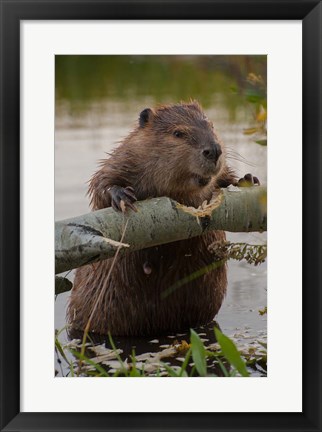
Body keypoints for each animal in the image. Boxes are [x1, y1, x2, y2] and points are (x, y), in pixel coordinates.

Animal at [66, 102, 258, 338]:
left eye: (211, 125)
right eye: (178, 133)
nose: (213, 150)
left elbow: (224, 177)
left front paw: (248, 179)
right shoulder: (125, 157)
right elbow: (102, 182)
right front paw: (121, 196)